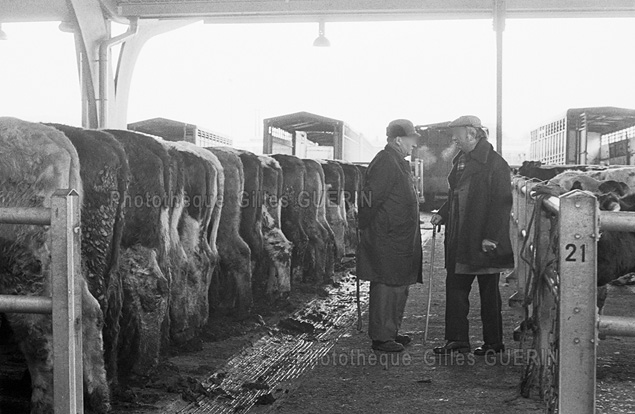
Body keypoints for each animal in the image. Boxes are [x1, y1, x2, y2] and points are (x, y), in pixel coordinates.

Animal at [0, 116, 110, 414]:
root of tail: (54, 135)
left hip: (24, 263)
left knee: (37, 332)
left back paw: (44, 405)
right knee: (89, 309)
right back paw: (100, 398)